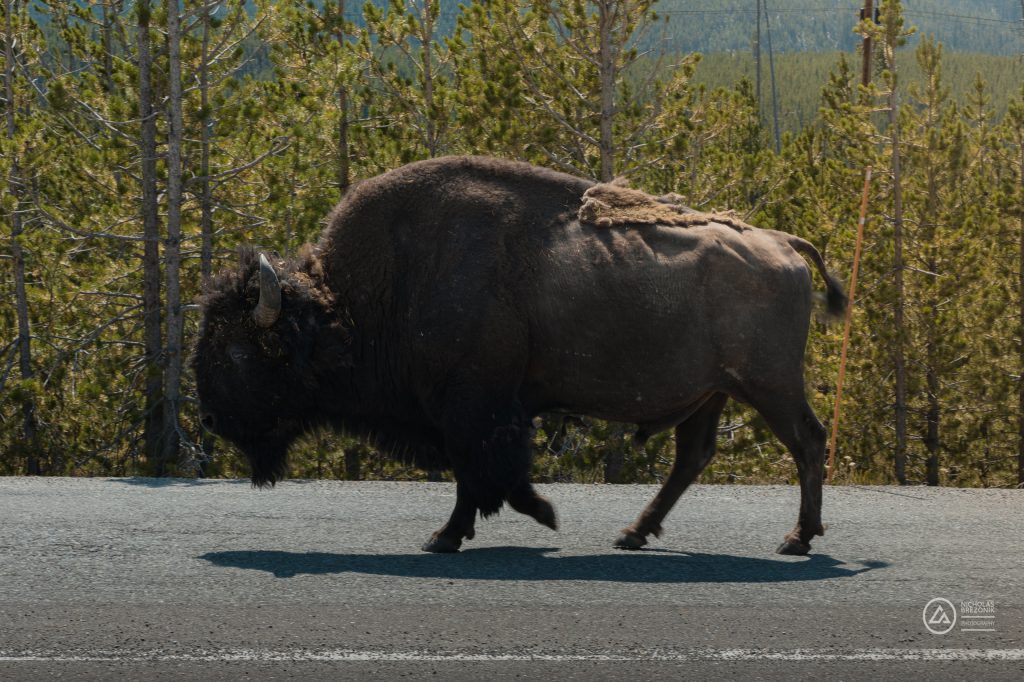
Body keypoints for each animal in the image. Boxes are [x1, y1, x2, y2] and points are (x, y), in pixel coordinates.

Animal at [194, 156, 845, 555]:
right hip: (711, 394)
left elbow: (482, 473)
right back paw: (633, 533)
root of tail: (784, 242)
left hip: (769, 386)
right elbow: (482, 474)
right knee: (694, 457)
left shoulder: (473, 407)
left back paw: (797, 538)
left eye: (236, 350)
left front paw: (488, 526)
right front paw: (484, 527)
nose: (209, 418)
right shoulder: (469, 412)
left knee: (807, 441)